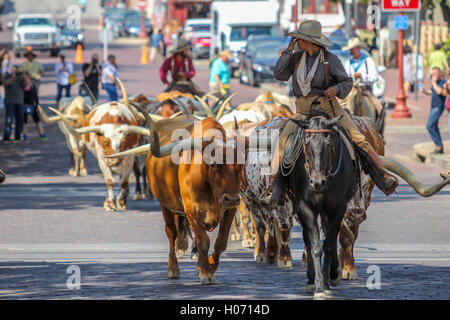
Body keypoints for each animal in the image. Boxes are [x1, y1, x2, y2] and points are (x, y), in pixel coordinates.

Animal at [282, 111, 356, 298]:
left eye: (328, 142)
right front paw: (319, 287)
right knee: (308, 239)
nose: (317, 182)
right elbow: (315, 245)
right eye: (306, 141)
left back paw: (333, 274)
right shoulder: (305, 207)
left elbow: (328, 244)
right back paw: (311, 280)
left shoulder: (338, 208)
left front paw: (327, 283)